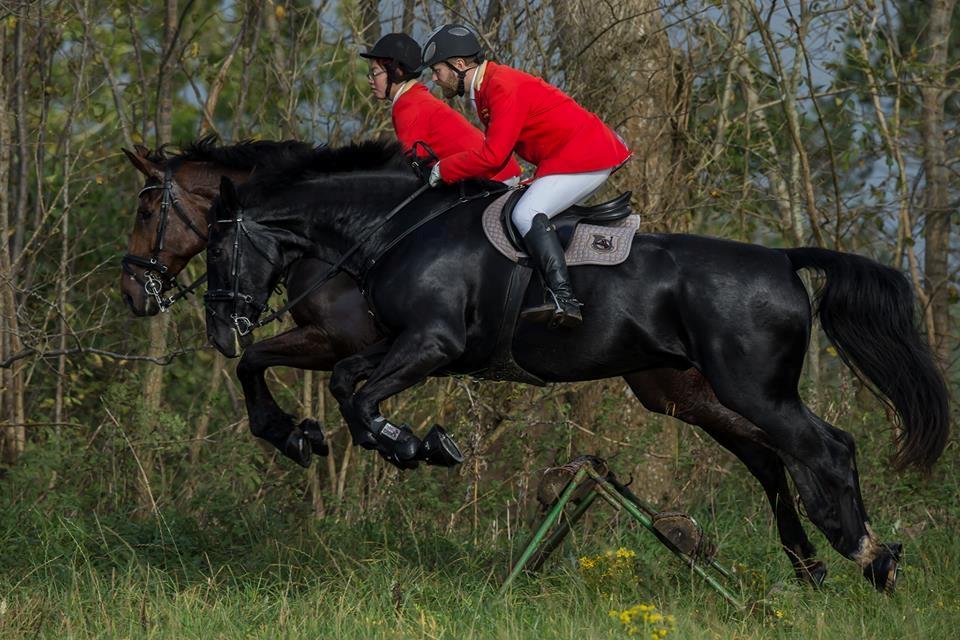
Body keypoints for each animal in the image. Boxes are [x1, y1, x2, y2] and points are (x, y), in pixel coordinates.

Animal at [202, 145, 949, 593]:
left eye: (214, 250)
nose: (217, 329)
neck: (395, 228)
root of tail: (783, 258)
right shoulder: (390, 344)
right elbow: (335, 383)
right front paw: (312, 435)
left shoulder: (431, 344)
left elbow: (356, 397)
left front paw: (416, 446)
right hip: (692, 393)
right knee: (771, 460)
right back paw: (811, 565)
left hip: (753, 389)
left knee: (826, 448)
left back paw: (869, 556)